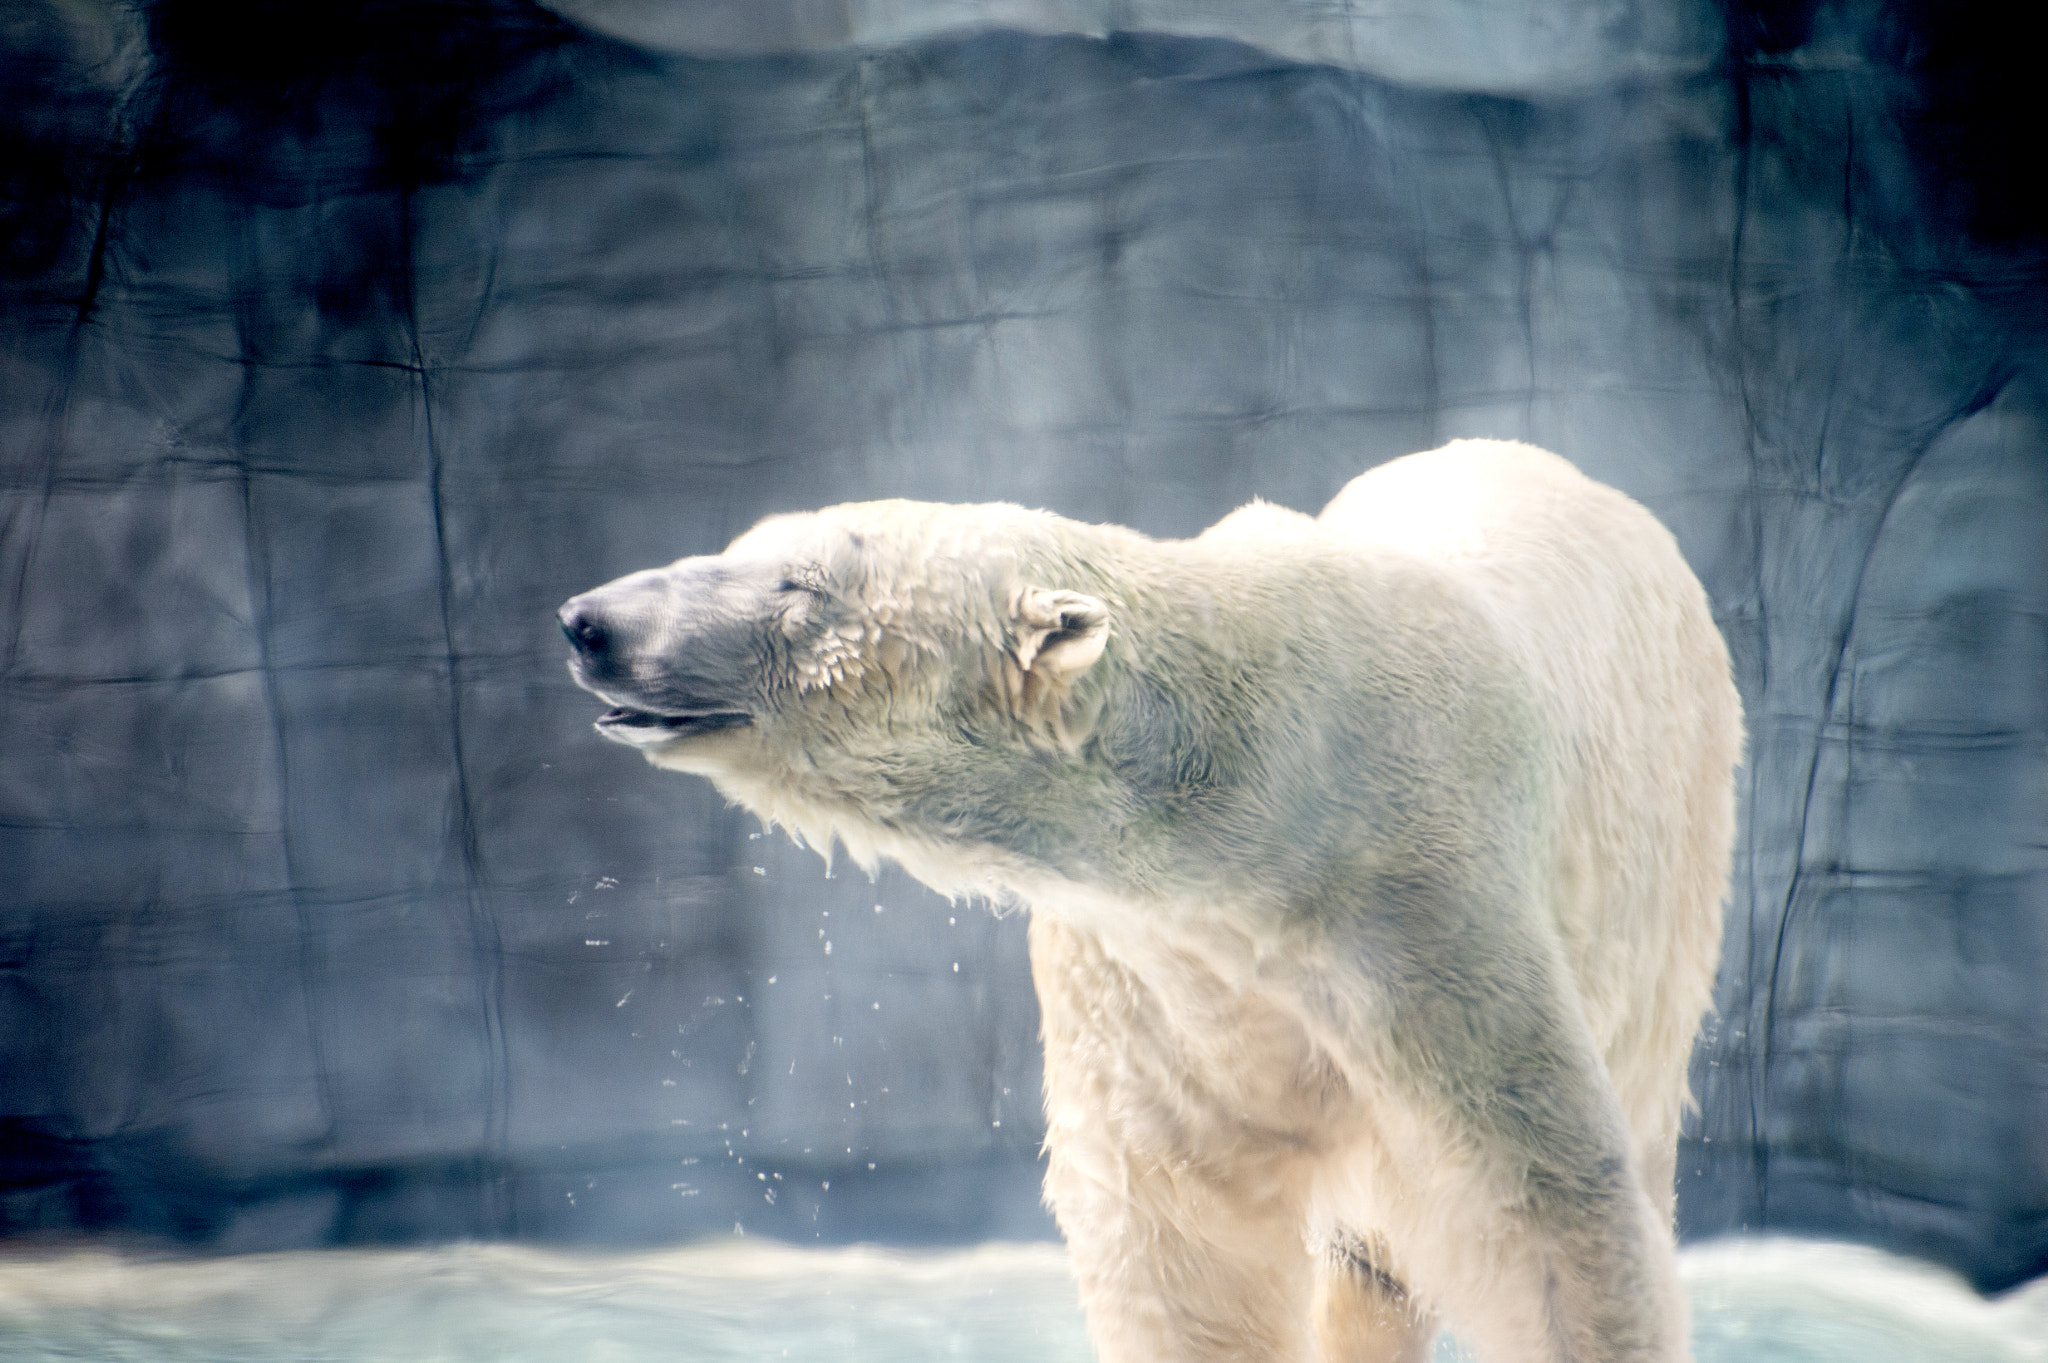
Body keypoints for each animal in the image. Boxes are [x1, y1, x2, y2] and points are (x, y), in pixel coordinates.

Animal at [559, 439, 1742, 1363]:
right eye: (738, 544)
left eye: (798, 586)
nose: (586, 620)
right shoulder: (1151, 973)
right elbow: (1176, 1237)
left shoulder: (1428, 909)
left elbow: (1542, 1209)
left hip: (1669, 867)